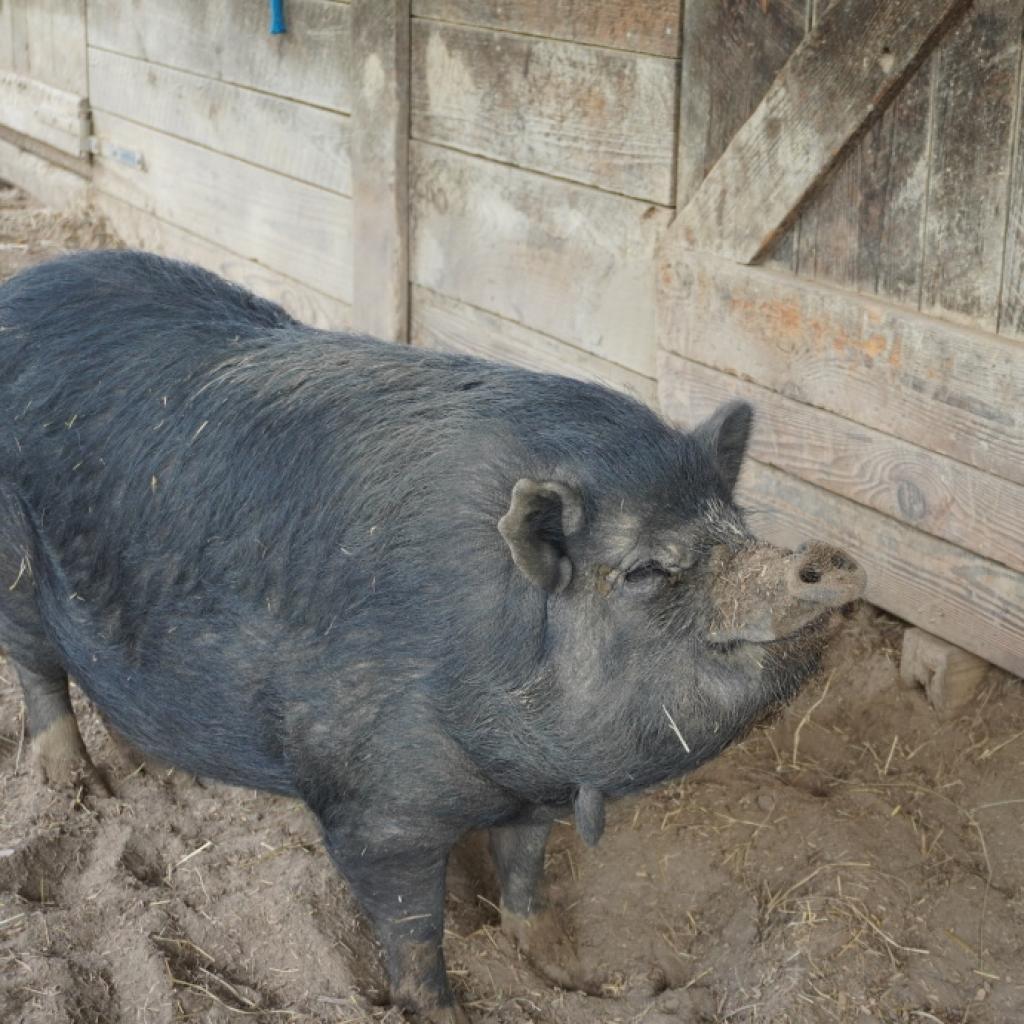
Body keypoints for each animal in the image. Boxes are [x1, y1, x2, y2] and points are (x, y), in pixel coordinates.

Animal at [0, 250, 865, 1022]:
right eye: (645, 570)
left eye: (738, 526)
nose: (823, 559)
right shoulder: (374, 809)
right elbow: (412, 928)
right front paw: (443, 1010)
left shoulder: (534, 789)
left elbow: (525, 877)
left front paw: (569, 974)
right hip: (16, 574)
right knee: (40, 675)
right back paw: (76, 787)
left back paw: (166, 776)